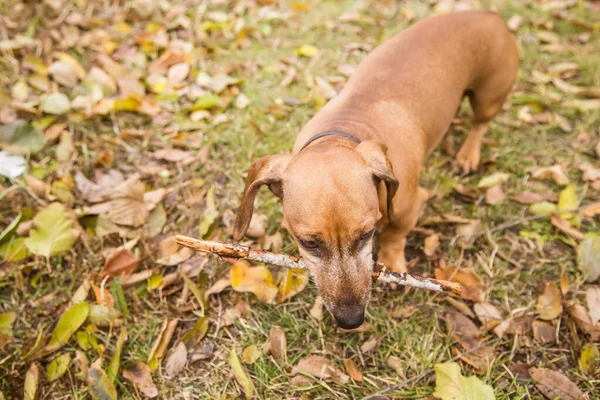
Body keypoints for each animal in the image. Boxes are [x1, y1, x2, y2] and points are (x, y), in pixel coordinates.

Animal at [232, 10, 516, 328]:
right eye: (308, 243)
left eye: (366, 235)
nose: (351, 320)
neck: (344, 132)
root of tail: (487, 14)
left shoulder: (410, 206)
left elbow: (394, 232)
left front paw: (392, 262)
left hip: (488, 96)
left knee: (480, 124)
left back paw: (468, 153)